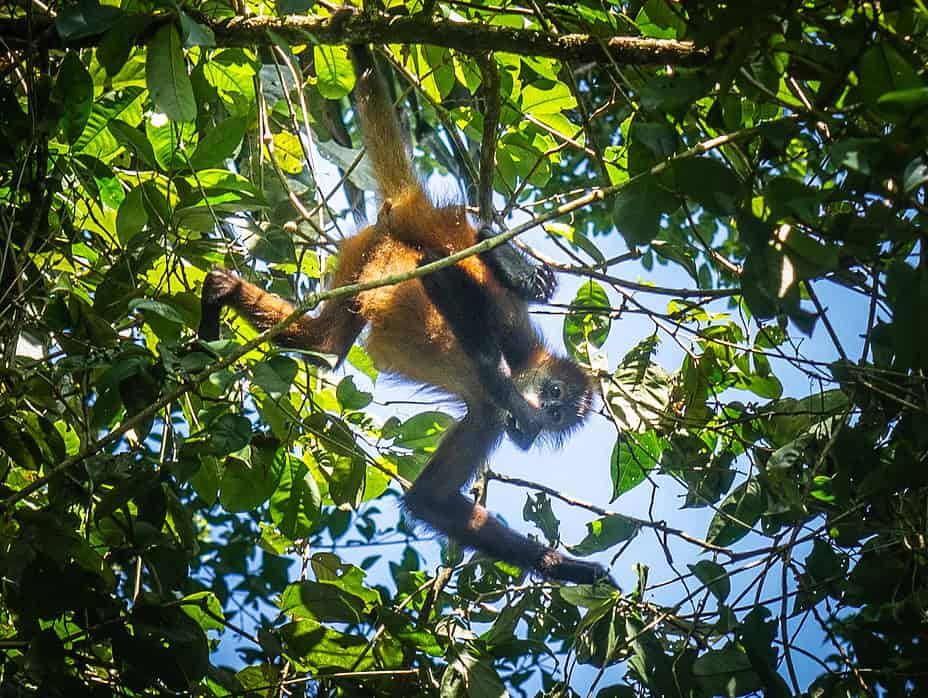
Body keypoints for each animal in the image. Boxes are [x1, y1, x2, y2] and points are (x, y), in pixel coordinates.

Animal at [199, 46, 608, 584]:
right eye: (555, 395)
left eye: (559, 416)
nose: (543, 413)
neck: (522, 371)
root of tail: (411, 205)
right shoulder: (512, 348)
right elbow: (453, 299)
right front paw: (514, 398)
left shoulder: (486, 420)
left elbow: (430, 501)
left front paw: (569, 568)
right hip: (415, 235)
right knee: (449, 251)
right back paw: (509, 259)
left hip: (365, 249)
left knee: (326, 344)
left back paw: (228, 295)